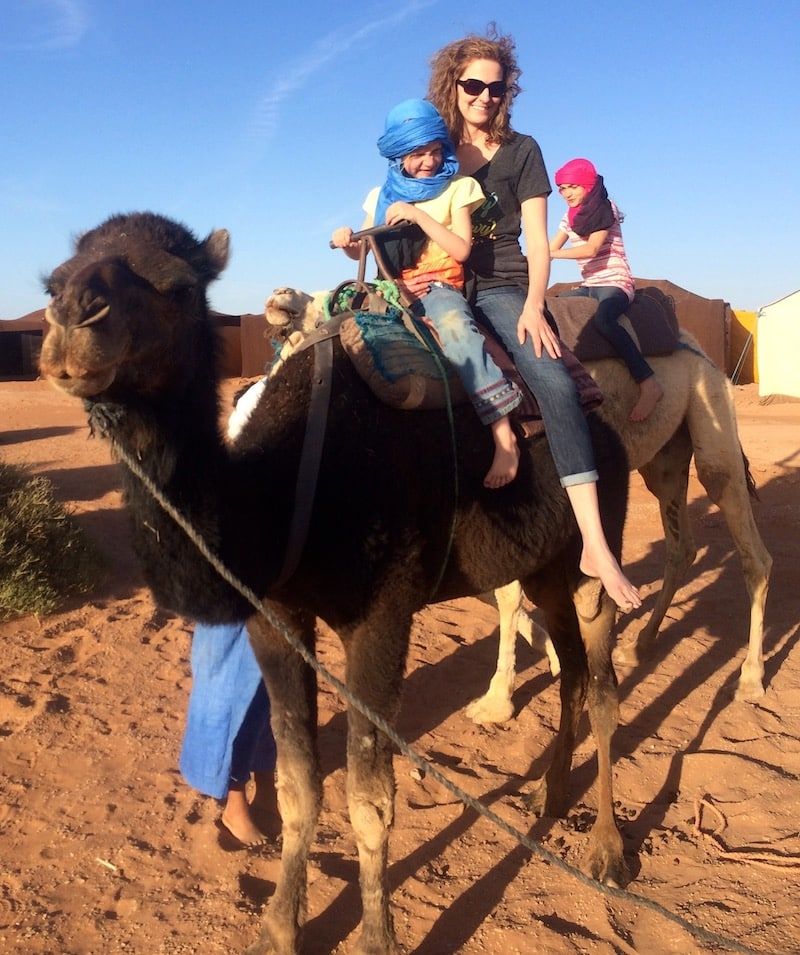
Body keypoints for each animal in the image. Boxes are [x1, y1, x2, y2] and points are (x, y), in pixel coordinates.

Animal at [42, 211, 632, 955]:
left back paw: (608, 850)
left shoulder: (382, 614)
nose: (72, 318)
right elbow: (299, 787)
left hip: (595, 534)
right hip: (543, 564)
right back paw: (546, 796)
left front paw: (377, 936)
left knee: (605, 679)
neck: (285, 486)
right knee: (573, 668)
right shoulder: (275, 615)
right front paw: (278, 926)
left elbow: (369, 800)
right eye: (53, 282)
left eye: (175, 285)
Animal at [270, 288, 776, 720]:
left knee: (751, 547)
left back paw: (750, 679)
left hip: (710, 414)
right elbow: (492, 590)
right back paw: (641, 643)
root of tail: (697, 344)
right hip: (665, 457)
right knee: (681, 545)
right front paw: (551, 658)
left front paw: (496, 701)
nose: (279, 300)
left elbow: (507, 595)